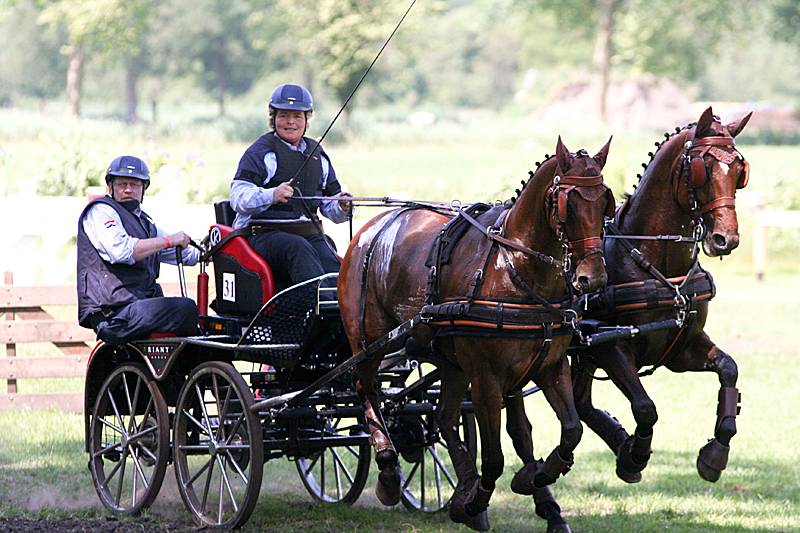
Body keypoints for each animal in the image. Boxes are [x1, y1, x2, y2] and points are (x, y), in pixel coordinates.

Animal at [338, 137, 615, 532]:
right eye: (569, 203)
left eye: (605, 200)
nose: (593, 278)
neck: (514, 268)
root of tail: (369, 229)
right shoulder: (486, 379)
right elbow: (496, 457)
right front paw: (478, 501)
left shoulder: (550, 366)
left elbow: (570, 431)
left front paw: (533, 479)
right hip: (367, 342)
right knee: (368, 391)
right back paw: (391, 472)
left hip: (451, 362)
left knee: (443, 417)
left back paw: (463, 487)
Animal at [567, 106, 752, 484]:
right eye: (703, 167)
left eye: (739, 170)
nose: (725, 239)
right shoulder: (608, 347)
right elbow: (645, 407)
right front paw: (633, 457)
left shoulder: (680, 348)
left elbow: (729, 369)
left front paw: (715, 454)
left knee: (581, 402)